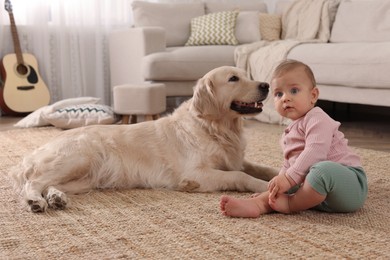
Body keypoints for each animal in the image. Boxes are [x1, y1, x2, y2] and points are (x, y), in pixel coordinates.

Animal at [9, 66, 278, 212]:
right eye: (233, 79)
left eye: (247, 75)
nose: (266, 85)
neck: (214, 127)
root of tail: (35, 152)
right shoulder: (195, 173)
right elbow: (240, 176)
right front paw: (266, 188)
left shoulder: (236, 159)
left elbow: (263, 167)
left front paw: (277, 177)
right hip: (80, 156)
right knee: (34, 182)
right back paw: (35, 201)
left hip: (85, 178)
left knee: (49, 184)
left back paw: (56, 197)